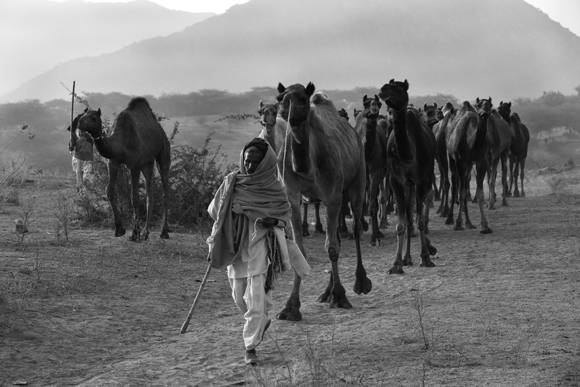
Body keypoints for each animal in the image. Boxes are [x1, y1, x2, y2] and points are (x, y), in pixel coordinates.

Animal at [76, 97, 170, 241]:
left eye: (93, 118)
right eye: (83, 114)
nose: (80, 122)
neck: (120, 143)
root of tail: (160, 129)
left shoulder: (134, 165)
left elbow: (134, 198)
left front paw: (134, 233)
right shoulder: (113, 163)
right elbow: (109, 191)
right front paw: (119, 229)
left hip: (163, 151)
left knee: (165, 190)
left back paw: (163, 232)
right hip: (147, 163)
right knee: (150, 195)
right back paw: (146, 233)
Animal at [266, 80, 372, 320]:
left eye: (301, 98)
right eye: (280, 98)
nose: (285, 108)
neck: (307, 166)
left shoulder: (332, 195)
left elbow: (332, 248)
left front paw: (340, 296)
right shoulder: (292, 196)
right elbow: (301, 251)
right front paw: (291, 306)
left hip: (358, 178)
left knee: (356, 228)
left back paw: (360, 283)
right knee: (339, 236)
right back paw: (326, 292)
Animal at [378, 80, 438, 276]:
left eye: (399, 89)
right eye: (387, 85)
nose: (383, 90)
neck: (408, 154)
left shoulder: (420, 181)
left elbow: (419, 221)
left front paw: (426, 258)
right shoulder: (396, 181)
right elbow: (401, 224)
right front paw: (396, 264)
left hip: (420, 180)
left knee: (416, 213)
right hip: (407, 185)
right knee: (409, 216)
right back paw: (407, 258)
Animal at [444, 101, 494, 233]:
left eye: (490, 105)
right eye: (479, 105)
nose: (484, 113)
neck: (470, 142)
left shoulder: (481, 161)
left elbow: (480, 192)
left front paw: (485, 225)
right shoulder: (460, 162)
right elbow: (461, 191)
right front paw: (458, 223)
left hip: (469, 165)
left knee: (465, 183)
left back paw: (469, 223)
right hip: (452, 158)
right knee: (455, 184)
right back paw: (450, 219)